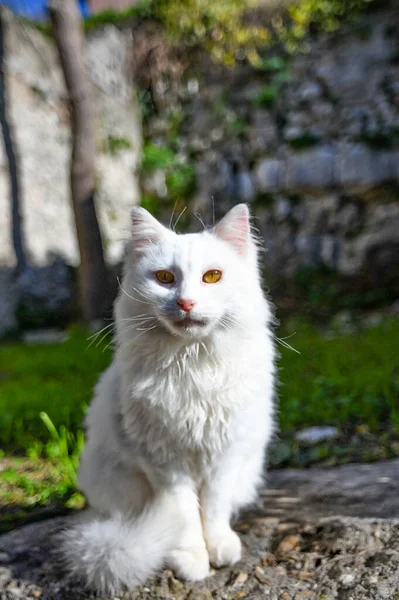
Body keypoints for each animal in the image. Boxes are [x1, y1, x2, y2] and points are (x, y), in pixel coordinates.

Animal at [63, 204, 278, 592]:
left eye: (212, 277)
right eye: (164, 278)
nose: (186, 302)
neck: (192, 365)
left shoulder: (224, 454)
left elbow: (213, 509)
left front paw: (219, 547)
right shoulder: (164, 461)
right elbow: (185, 516)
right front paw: (192, 559)